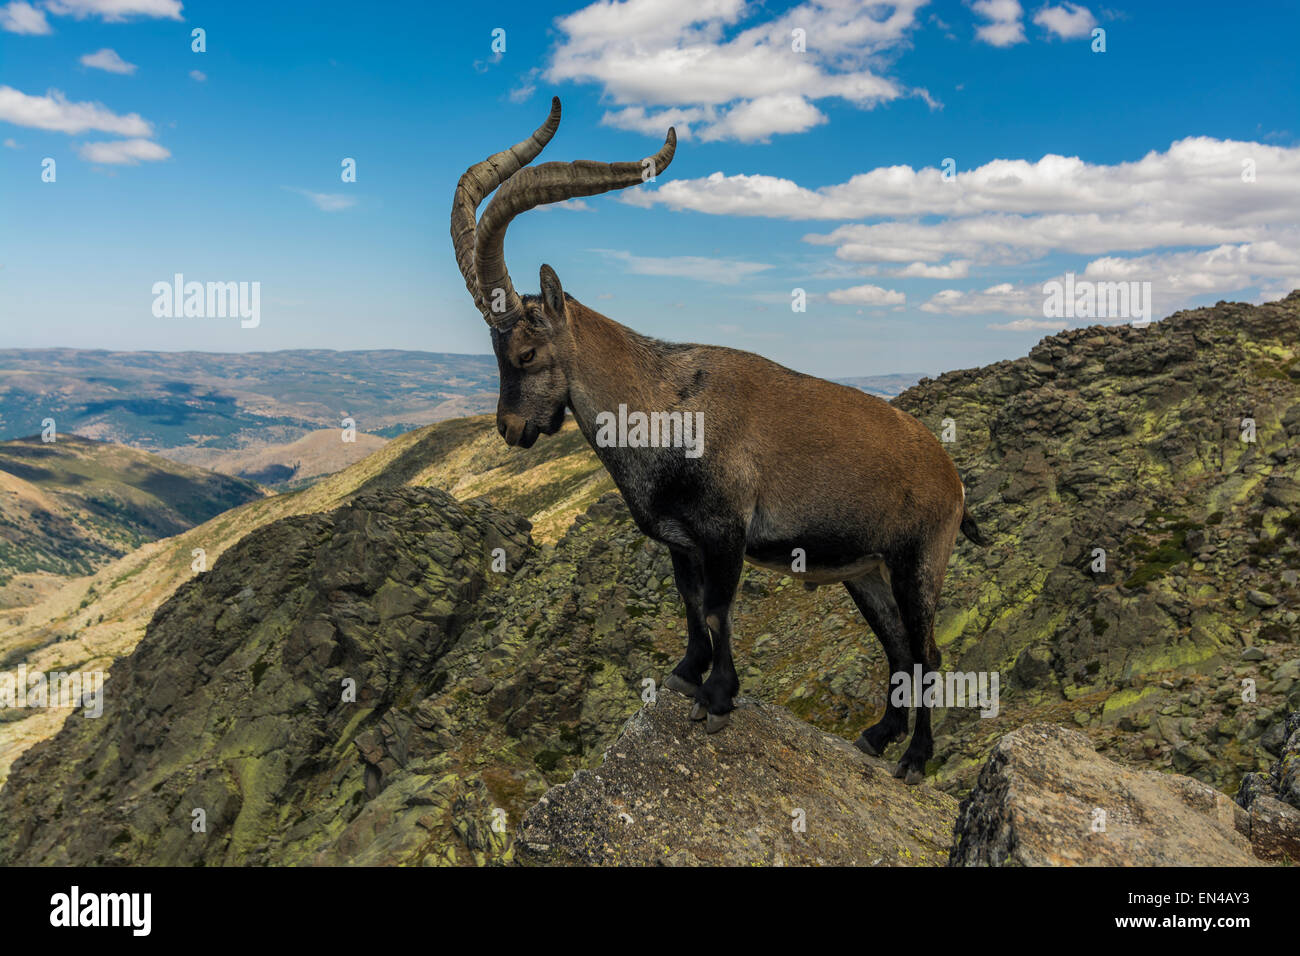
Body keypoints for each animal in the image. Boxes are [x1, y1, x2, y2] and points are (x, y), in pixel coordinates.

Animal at [450, 98, 988, 783]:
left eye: (524, 352)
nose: (511, 429)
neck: (664, 406)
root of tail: (952, 476)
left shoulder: (728, 530)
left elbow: (717, 609)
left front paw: (718, 698)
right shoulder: (682, 542)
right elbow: (690, 607)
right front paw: (686, 675)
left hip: (919, 560)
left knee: (926, 651)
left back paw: (916, 758)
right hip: (866, 570)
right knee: (896, 646)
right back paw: (877, 736)